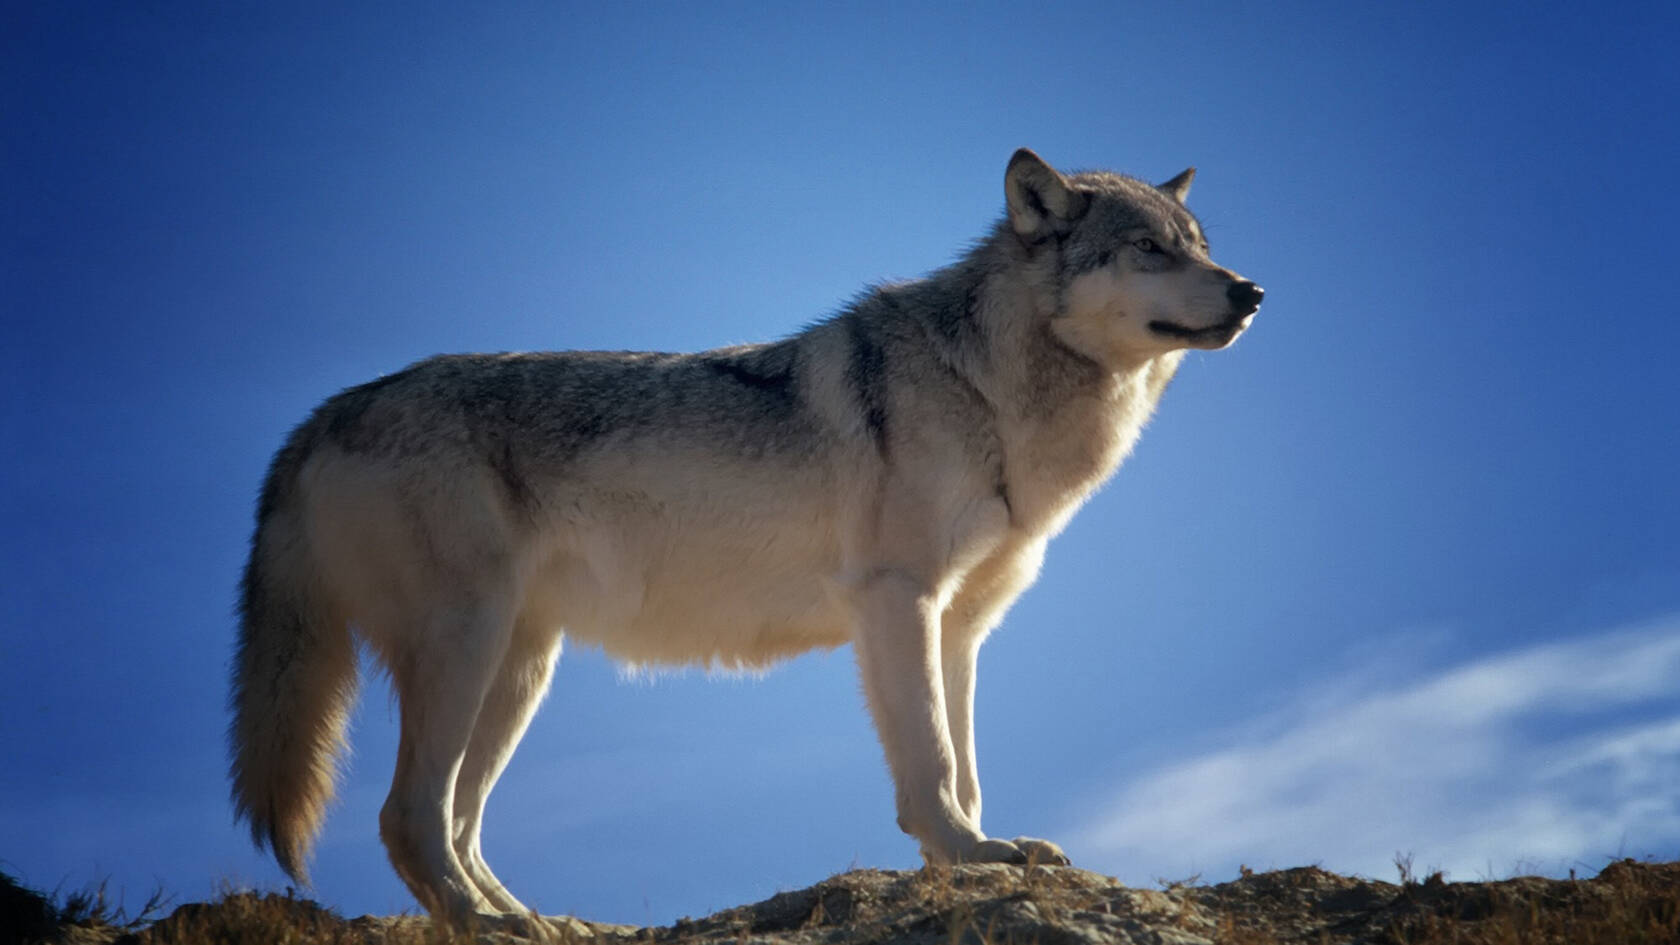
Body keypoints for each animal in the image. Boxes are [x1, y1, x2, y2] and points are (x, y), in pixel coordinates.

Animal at [233, 147, 1263, 921]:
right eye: (1148, 250)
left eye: (1200, 247)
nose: (1250, 291)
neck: (988, 389)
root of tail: (319, 416)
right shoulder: (897, 601)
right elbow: (931, 762)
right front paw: (966, 856)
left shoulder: (961, 626)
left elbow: (966, 765)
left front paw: (975, 854)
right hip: (467, 648)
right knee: (409, 817)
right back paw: (491, 925)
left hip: (520, 671)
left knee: (455, 822)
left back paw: (539, 921)